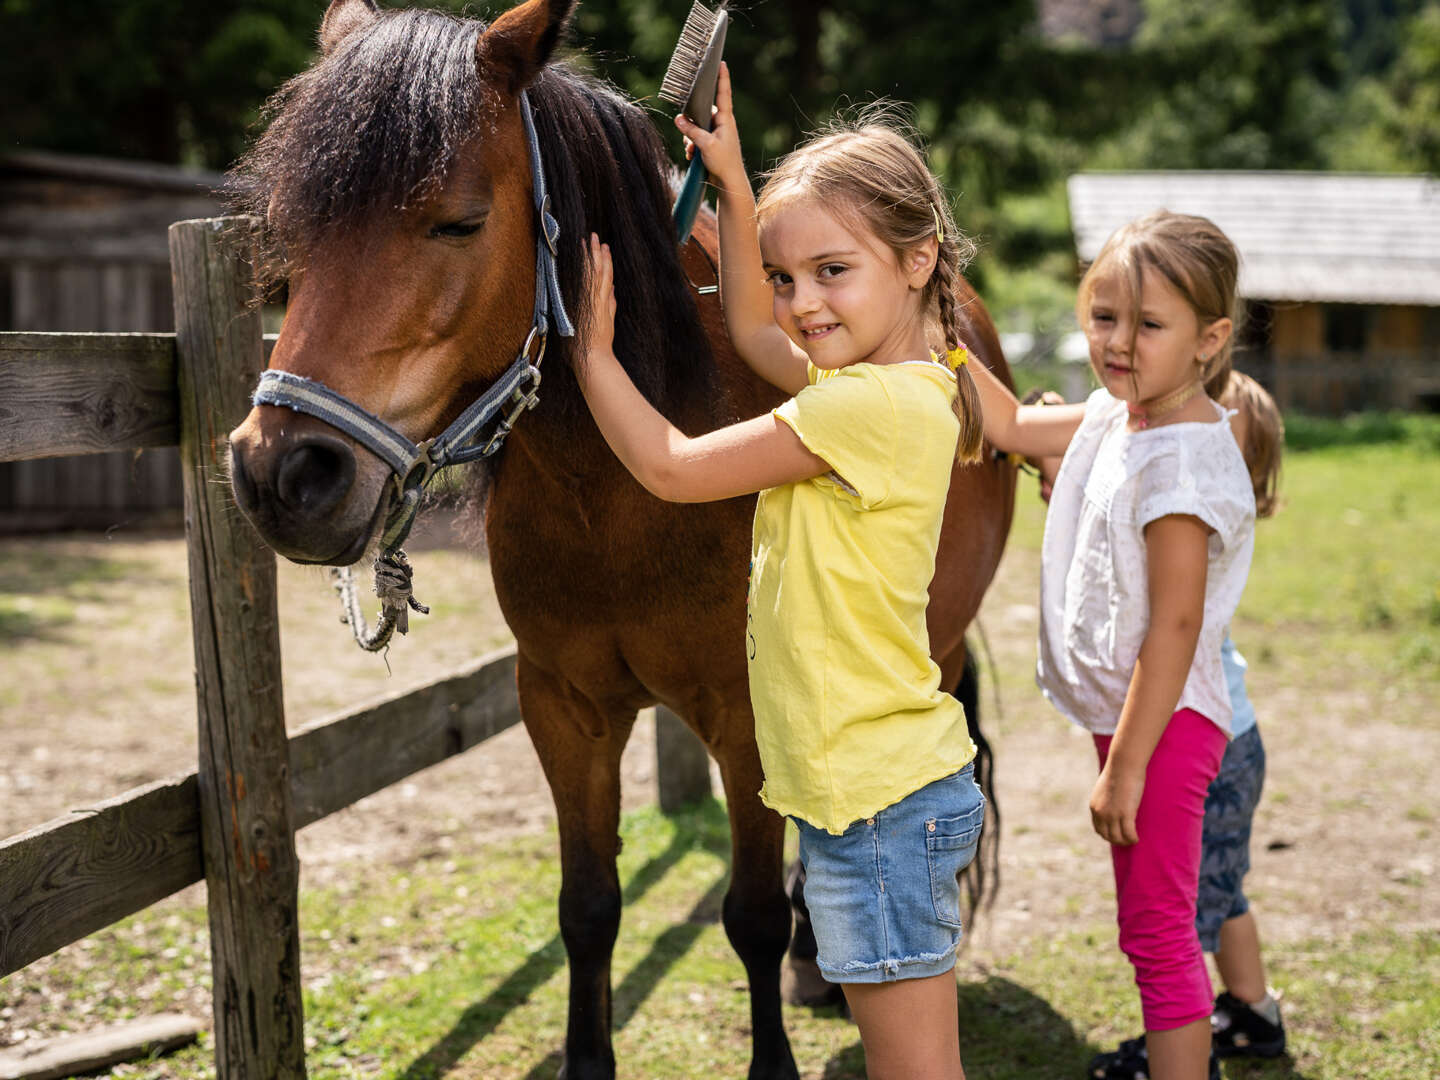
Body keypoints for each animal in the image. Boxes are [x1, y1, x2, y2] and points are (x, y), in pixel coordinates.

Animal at [224, 2, 1019, 1080]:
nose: (284, 475)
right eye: (292, 231)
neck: (616, 496)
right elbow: (589, 909)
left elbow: (752, 912)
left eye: (458, 221)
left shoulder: (746, 713)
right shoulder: (564, 708)